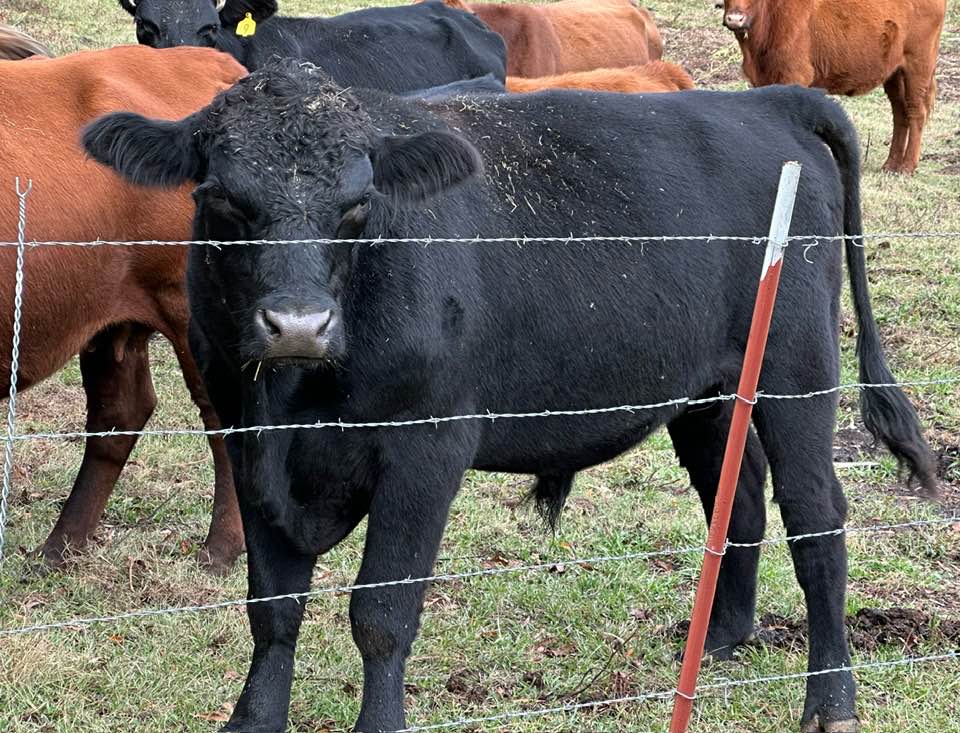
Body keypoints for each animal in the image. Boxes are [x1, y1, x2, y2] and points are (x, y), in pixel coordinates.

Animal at [84, 59, 937, 733]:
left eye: (358, 204)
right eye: (223, 199)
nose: (297, 324)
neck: (301, 398)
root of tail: (767, 102)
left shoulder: (427, 445)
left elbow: (381, 613)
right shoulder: (250, 444)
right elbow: (272, 608)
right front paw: (252, 719)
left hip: (799, 368)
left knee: (816, 515)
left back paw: (830, 700)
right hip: (710, 390)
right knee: (740, 496)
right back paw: (722, 637)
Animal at [719, 0, 946, 174]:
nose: (734, 19)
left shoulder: (795, 75)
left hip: (918, 66)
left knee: (916, 112)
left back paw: (907, 166)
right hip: (894, 74)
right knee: (900, 114)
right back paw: (891, 164)